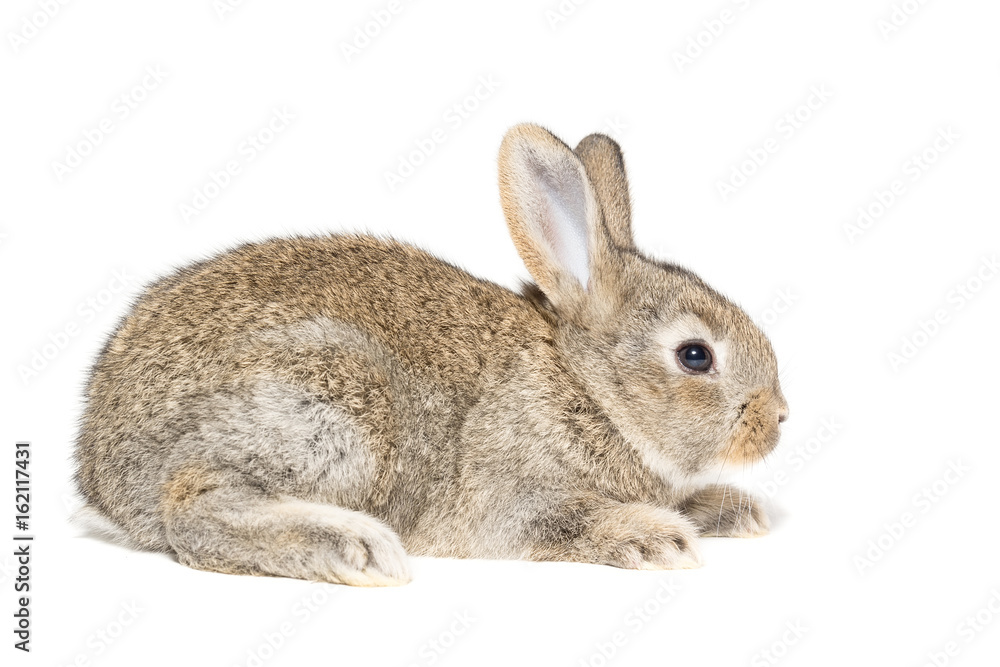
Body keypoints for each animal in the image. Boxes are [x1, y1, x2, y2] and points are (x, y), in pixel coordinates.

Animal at [74, 123, 788, 586]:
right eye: (695, 356)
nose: (778, 418)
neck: (588, 389)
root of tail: (101, 474)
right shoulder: (510, 494)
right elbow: (564, 518)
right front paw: (655, 538)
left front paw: (742, 512)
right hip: (332, 408)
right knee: (193, 509)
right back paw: (356, 549)